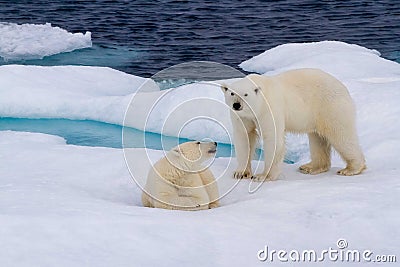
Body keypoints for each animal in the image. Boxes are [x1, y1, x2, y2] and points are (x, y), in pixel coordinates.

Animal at [220, 69, 368, 182]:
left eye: (245, 94)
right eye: (232, 93)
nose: (237, 105)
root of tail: (343, 87)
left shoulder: (269, 109)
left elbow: (272, 139)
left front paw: (263, 176)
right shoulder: (242, 116)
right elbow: (243, 137)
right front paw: (240, 173)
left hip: (330, 107)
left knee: (341, 134)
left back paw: (351, 169)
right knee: (318, 138)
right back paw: (310, 167)